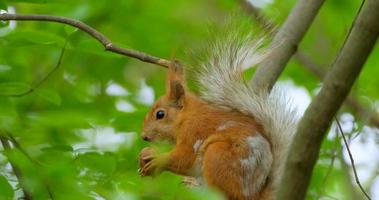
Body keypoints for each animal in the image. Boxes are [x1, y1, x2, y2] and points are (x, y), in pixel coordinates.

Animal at [138, 30, 298, 200]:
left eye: (160, 114)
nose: (144, 136)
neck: (187, 116)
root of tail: (253, 195)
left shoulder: (194, 131)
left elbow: (185, 158)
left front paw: (157, 159)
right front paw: (146, 153)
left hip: (218, 155)